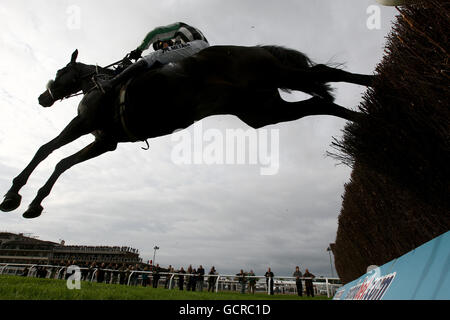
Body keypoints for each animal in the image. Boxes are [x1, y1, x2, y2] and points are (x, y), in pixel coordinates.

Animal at [0, 45, 372, 219]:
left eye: (60, 71)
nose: (43, 97)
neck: (99, 83)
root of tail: (255, 47)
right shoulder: (105, 141)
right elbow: (63, 163)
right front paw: (33, 203)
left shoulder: (84, 124)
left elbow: (45, 151)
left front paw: (12, 195)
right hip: (263, 111)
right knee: (320, 102)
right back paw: (367, 120)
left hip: (273, 78)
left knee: (325, 74)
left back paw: (373, 83)